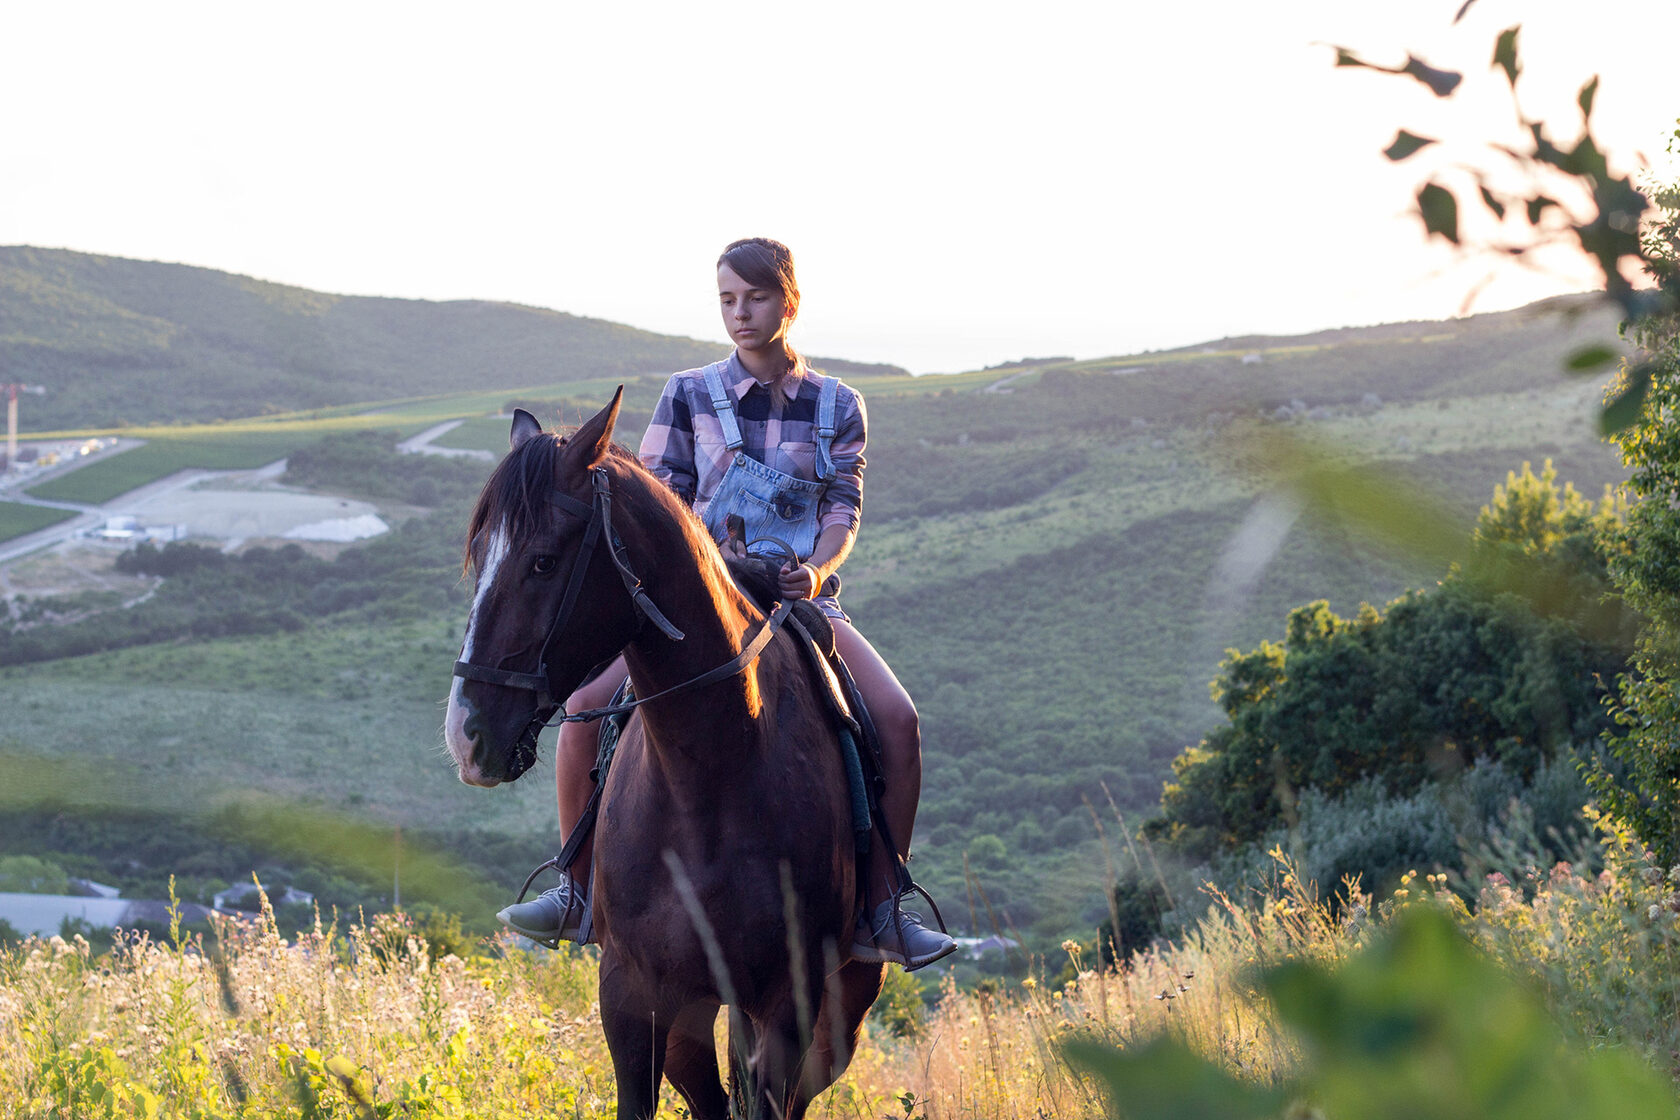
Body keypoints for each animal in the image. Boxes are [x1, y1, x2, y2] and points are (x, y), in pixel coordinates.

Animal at [446, 392, 887, 1120]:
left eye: (542, 561)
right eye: (480, 555)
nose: (466, 735)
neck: (709, 772)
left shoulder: (787, 1007)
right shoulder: (631, 996)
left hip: (837, 1012)